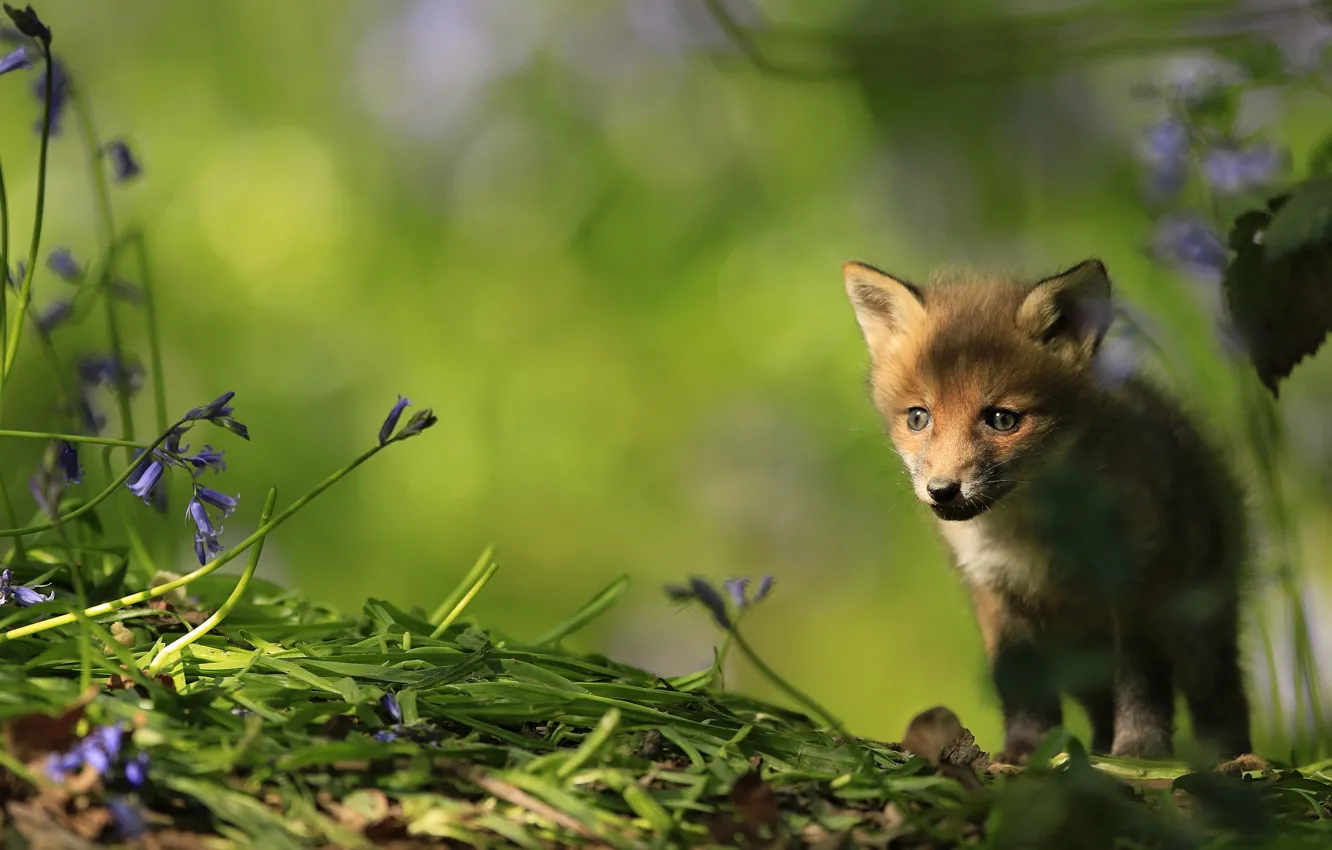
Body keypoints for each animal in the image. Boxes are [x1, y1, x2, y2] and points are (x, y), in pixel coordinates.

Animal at [841, 257, 1252, 764]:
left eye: (1002, 419)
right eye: (918, 418)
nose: (942, 491)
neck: (1033, 540)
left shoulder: (1132, 583)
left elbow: (1141, 685)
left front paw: (1140, 751)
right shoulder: (997, 596)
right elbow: (1021, 690)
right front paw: (1023, 753)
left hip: (1199, 630)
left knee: (1221, 699)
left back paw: (1228, 760)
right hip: (1081, 664)